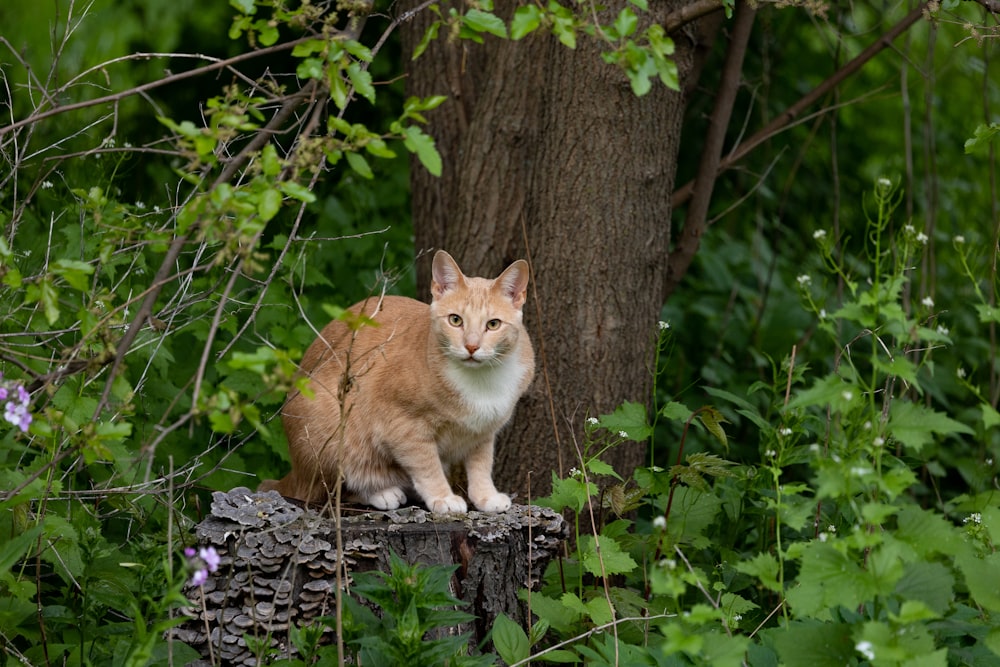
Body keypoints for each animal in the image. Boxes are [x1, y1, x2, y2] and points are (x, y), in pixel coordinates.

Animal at [262, 250, 536, 516]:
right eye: (455, 320)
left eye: (493, 324)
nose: (471, 346)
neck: (481, 380)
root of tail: (295, 472)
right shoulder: (403, 427)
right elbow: (428, 466)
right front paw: (443, 498)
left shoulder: (482, 433)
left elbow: (481, 466)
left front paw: (485, 497)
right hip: (330, 433)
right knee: (331, 491)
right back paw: (381, 492)